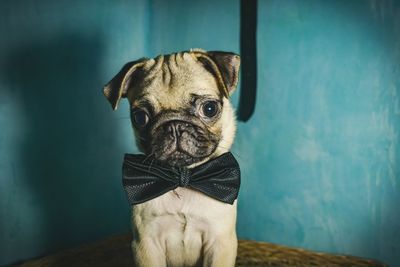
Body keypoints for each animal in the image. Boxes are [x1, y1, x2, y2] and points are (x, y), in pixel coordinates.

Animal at [104, 48, 241, 267]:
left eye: (209, 108)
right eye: (140, 117)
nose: (174, 126)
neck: (182, 178)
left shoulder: (220, 242)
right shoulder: (146, 244)